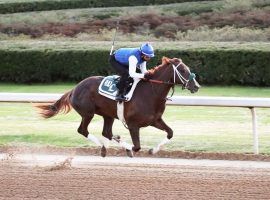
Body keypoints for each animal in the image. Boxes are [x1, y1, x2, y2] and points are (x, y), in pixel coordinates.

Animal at [36, 56, 200, 158]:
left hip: (108, 115)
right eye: (183, 70)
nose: (196, 86)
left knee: (106, 132)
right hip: (88, 113)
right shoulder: (133, 125)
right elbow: (136, 147)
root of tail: (74, 88)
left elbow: (170, 133)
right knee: (83, 130)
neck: (151, 92)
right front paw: (129, 149)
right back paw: (103, 148)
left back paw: (107, 146)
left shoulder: (155, 120)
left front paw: (152, 150)